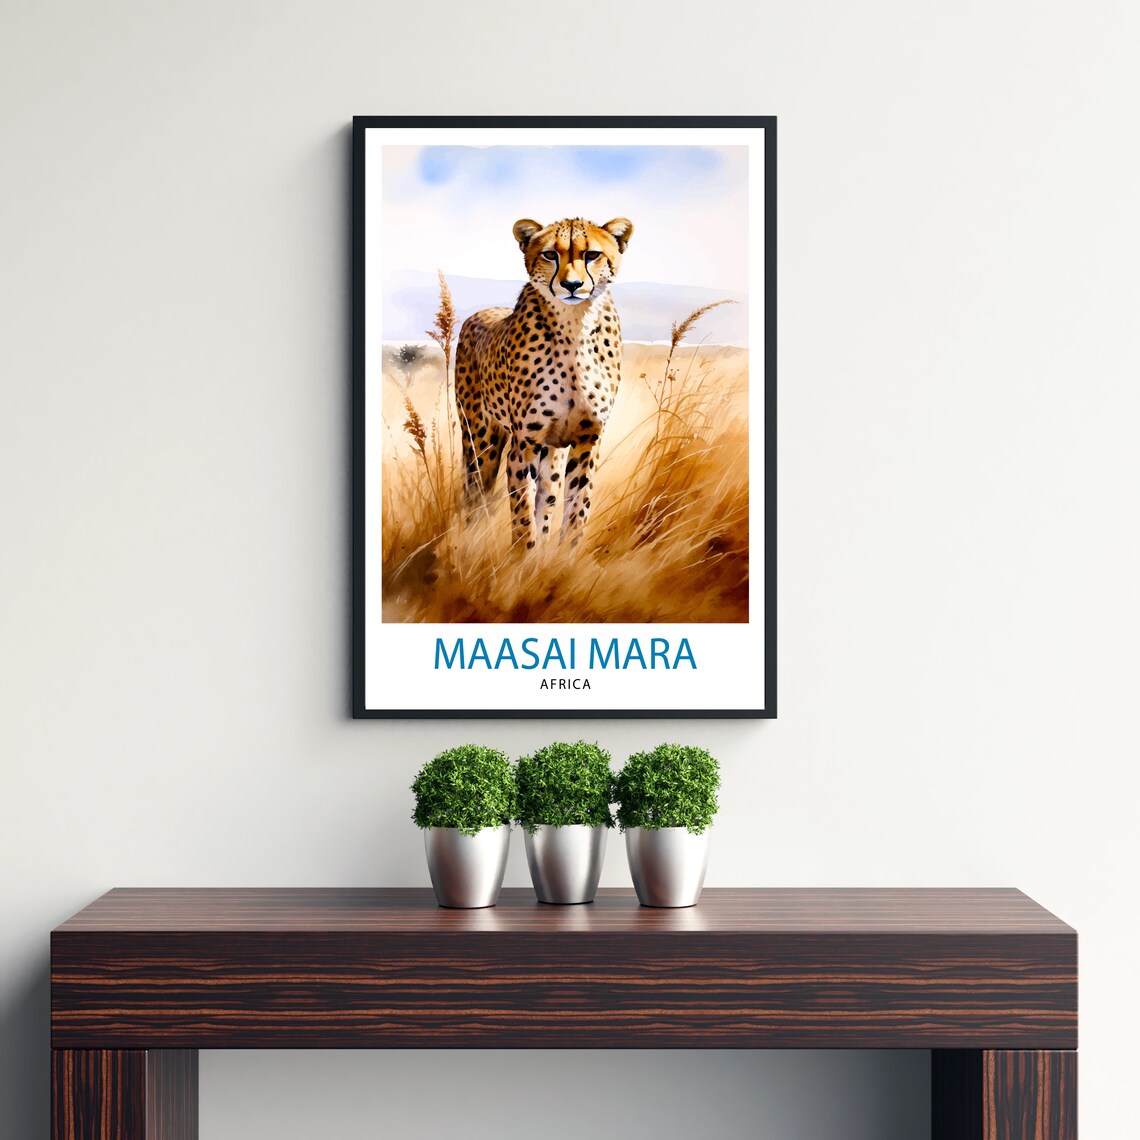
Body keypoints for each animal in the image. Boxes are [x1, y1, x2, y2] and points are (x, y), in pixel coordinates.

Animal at [454, 214, 634, 550]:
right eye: (550, 254)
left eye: (592, 254)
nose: (572, 285)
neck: (575, 324)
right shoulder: (524, 443)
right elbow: (523, 515)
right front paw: (522, 559)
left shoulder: (587, 441)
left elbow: (577, 508)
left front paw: (566, 558)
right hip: (481, 438)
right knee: (475, 494)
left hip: (551, 451)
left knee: (547, 497)